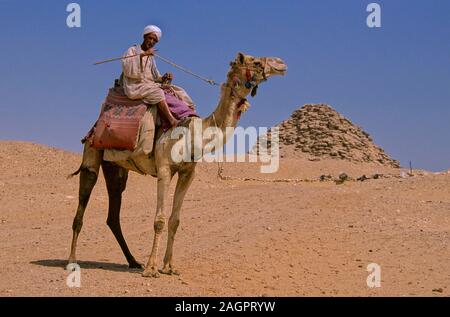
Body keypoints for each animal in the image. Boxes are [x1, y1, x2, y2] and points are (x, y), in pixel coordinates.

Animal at [68, 51, 286, 276]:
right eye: (256, 61)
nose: (281, 64)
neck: (193, 134)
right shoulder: (164, 169)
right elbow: (159, 220)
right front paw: (152, 268)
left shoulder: (187, 173)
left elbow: (175, 220)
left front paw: (169, 266)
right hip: (92, 152)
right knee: (84, 196)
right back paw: (72, 261)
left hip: (116, 167)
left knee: (113, 212)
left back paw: (133, 261)